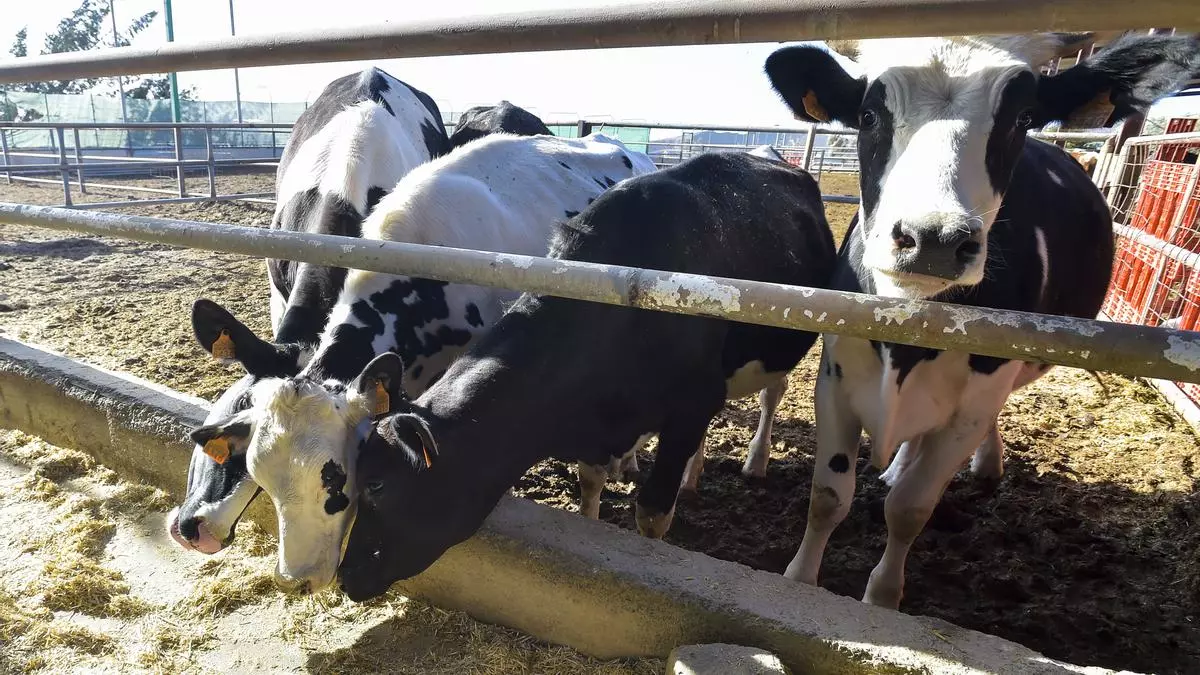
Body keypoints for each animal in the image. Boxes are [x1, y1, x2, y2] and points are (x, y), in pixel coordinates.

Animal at [334, 152, 836, 601]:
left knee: (773, 393)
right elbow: (590, 485)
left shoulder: (689, 406)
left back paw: (755, 461)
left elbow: (652, 515)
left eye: (377, 485)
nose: (344, 575)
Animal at [763, 32, 1200, 608]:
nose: (933, 239)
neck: (907, 338)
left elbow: (910, 509)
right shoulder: (835, 377)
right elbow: (829, 496)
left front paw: (882, 599)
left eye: (1023, 117)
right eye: (869, 115)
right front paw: (798, 582)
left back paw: (981, 464)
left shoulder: (972, 405)